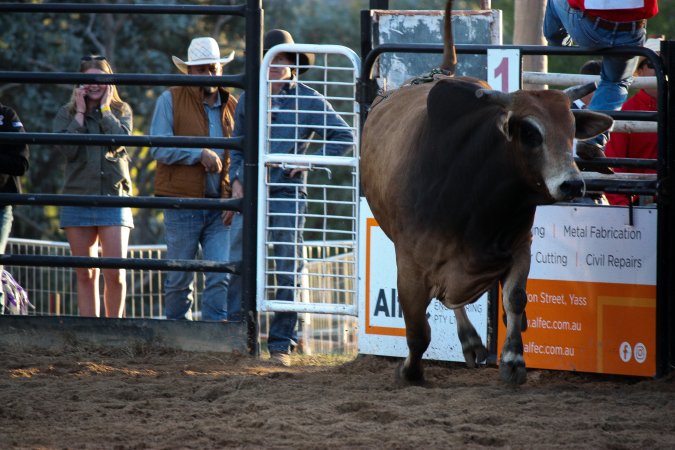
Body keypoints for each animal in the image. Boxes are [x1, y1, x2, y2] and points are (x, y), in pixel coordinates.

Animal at [360, 0, 613, 385]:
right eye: (530, 131)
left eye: (572, 129)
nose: (572, 183)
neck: (478, 198)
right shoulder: (410, 264)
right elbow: (418, 330)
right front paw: (411, 370)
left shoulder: (519, 246)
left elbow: (515, 298)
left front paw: (512, 359)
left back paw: (471, 342)